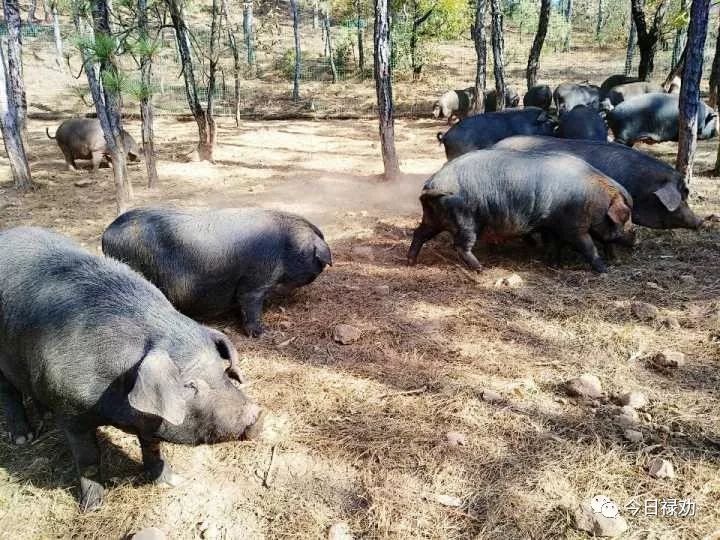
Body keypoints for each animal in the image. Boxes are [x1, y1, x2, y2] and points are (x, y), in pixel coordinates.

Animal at [0, 227, 262, 510]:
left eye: (222, 371)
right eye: (189, 385)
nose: (256, 413)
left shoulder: (150, 419)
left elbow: (152, 446)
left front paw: (169, 482)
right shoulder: (71, 412)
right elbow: (88, 458)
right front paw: (91, 508)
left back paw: (46, 416)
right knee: (8, 393)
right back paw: (23, 438)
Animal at [408, 149, 632, 272]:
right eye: (624, 217)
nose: (633, 238)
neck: (594, 198)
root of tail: (433, 183)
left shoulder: (551, 225)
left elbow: (555, 245)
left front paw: (555, 265)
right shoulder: (573, 226)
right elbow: (588, 247)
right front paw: (603, 270)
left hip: (433, 217)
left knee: (419, 233)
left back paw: (411, 262)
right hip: (465, 219)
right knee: (461, 245)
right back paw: (481, 269)